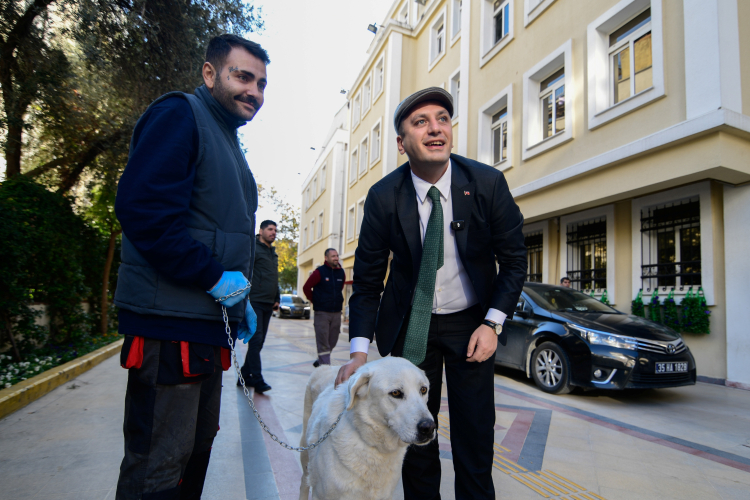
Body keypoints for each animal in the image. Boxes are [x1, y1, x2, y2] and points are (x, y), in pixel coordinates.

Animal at [300, 358, 438, 498]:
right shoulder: (322, 495)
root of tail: (327, 366)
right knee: (304, 482)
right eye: (396, 393)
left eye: (423, 390)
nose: (429, 427)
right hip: (305, 454)